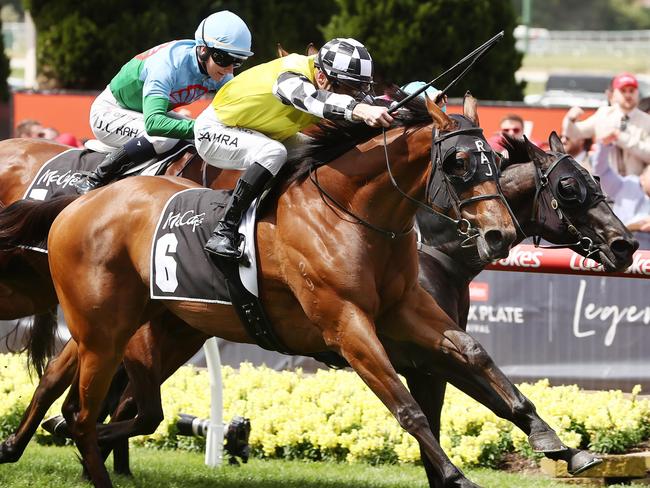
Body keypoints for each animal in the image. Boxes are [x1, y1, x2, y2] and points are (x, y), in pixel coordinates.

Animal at [2, 93, 512, 486]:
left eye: (497, 159)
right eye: (459, 162)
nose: (500, 235)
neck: (347, 212)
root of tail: (79, 201)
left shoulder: (402, 309)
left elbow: (474, 356)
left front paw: (534, 431)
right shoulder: (346, 324)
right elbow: (409, 408)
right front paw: (456, 475)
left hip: (126, 329)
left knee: (80, 399)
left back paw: (33, 441)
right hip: (108, 331)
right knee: (87, 411)